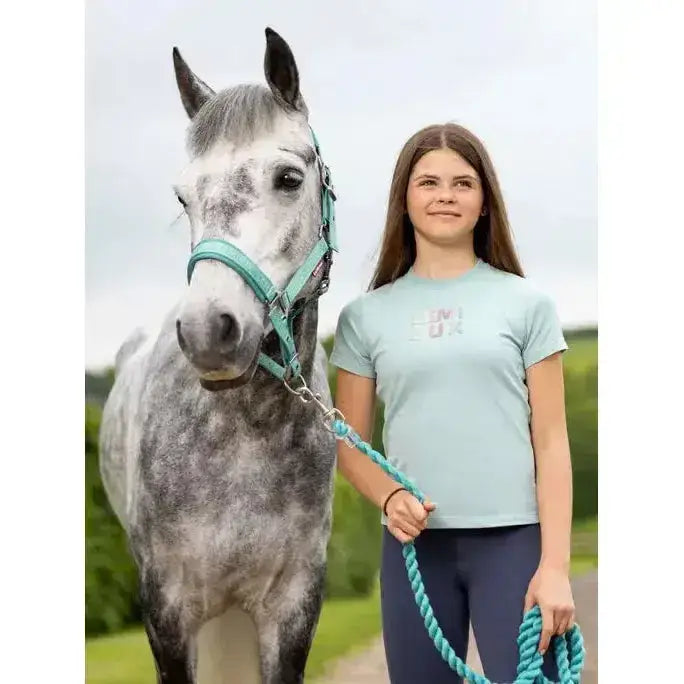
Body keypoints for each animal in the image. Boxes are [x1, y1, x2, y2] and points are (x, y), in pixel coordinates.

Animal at [99, 27, 339, 683]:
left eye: (289, 178)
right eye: (183, 196)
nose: (208, 330)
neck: (245, 434)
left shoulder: (294, 608)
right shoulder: (167, 609)